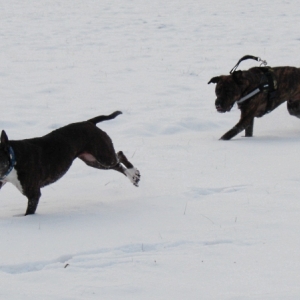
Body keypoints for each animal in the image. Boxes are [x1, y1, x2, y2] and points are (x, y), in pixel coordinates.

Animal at [0, 111, 141, 214]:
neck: (14, 158)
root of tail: (90, 122)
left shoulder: (33, 195)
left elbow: (29, 212)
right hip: (93, 161)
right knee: (118, 163)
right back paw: (133, 178)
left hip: (103, 157)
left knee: (119, 156)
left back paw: (133, 174)